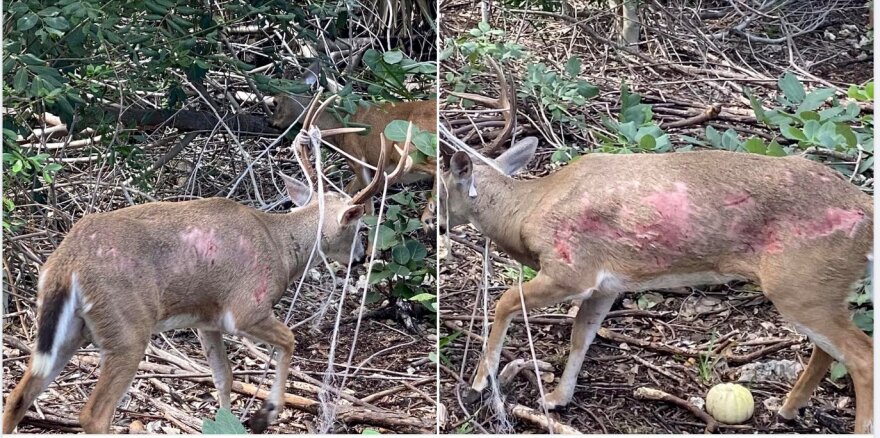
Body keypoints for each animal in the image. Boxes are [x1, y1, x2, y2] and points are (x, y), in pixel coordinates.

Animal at [1, 108, 414, 432]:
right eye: (359, 227)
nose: (362, 256)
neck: (281, 246)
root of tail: (66, 264)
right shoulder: (246, 307)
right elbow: (289, 340)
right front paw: (265, 414)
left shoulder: (206, 321)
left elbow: (224, 377)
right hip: (127, 326)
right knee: (93, 414)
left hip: (68, 329)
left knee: (18, 397)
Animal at [268, 64, 434, 231]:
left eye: (275, 102)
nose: (272, 124)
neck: (338, 125)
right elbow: (348, 191)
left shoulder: (357, 157)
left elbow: (367, 207)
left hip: (409, 147)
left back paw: (427, 219)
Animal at [440, 135, 872, 432]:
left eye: (440, 189)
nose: (432, 221)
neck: (529, 211)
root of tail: (866, 211)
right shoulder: (607, 285)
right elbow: (582, 335)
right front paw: (557, 399)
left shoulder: (571, 268)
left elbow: (506, 301)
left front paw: (478, 383)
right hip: (816, 287)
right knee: (830, 349)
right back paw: (787, 408)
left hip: (801, 283)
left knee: (861, 354)